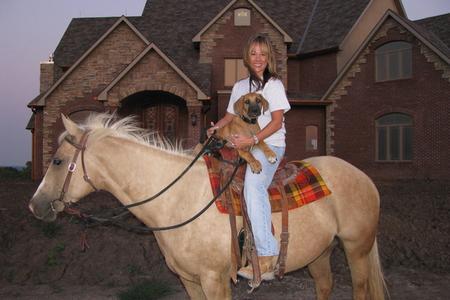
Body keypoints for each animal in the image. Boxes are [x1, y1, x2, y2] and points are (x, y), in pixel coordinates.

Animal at [29, 113, 386, 300]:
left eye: (58, 161)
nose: (35, 205)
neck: (177, 198)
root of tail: (365, 178)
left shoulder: (215, 280)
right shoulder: (190, 280)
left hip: (356, 249)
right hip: (321, 253)